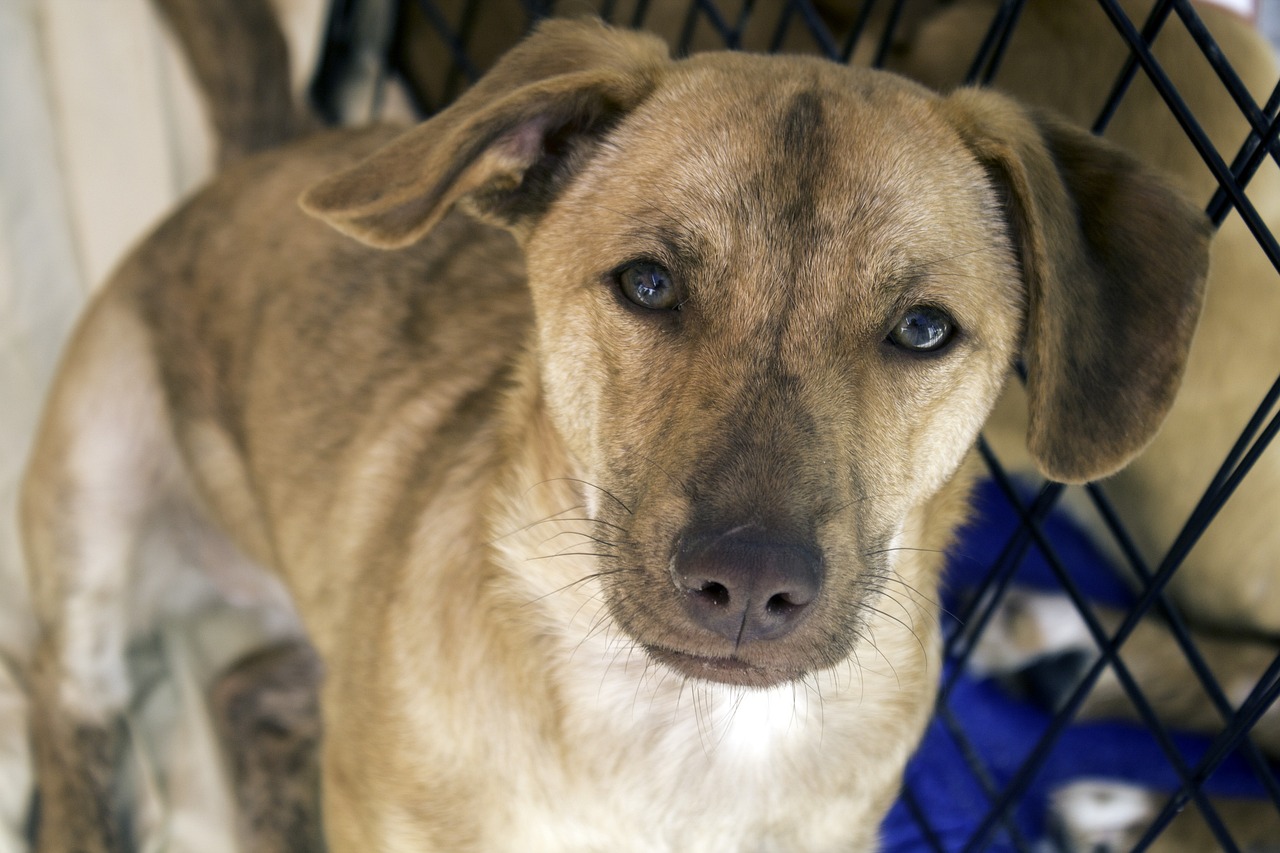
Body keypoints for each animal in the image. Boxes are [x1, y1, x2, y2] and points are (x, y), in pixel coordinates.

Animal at [17, 16, 1208, 845]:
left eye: (922, 329)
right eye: (646, 282)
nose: (748, 582)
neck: (680, 741)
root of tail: (270, 150)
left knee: (242, 691)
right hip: (91, 492)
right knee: (70, 710)